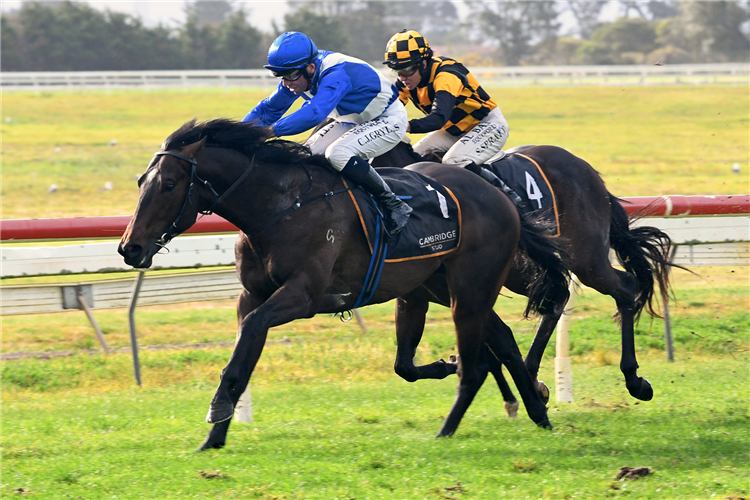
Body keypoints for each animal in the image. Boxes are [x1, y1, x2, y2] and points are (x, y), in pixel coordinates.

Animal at [117, 119, 568, 452]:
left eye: (169, 184)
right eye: (141, 181)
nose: (129, 247)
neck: (281, 206)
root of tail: (501, 195)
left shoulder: (302, 296)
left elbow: (251, 334)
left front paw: (218, 409)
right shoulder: (252, 296)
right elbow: (244, 353)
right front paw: (214, 436)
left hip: (470, 287)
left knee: (475, 366)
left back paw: (448, 428)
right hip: (440, 287)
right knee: (498, 340)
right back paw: (537, 410)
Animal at [374, 140, 676, 406]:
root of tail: (585, 168)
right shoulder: (416, 292)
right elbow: (404, 365)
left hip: (585, 260)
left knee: (623, 286)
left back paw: (634, 379)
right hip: (527, 272)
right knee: (559, 299)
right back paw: (533, 378)